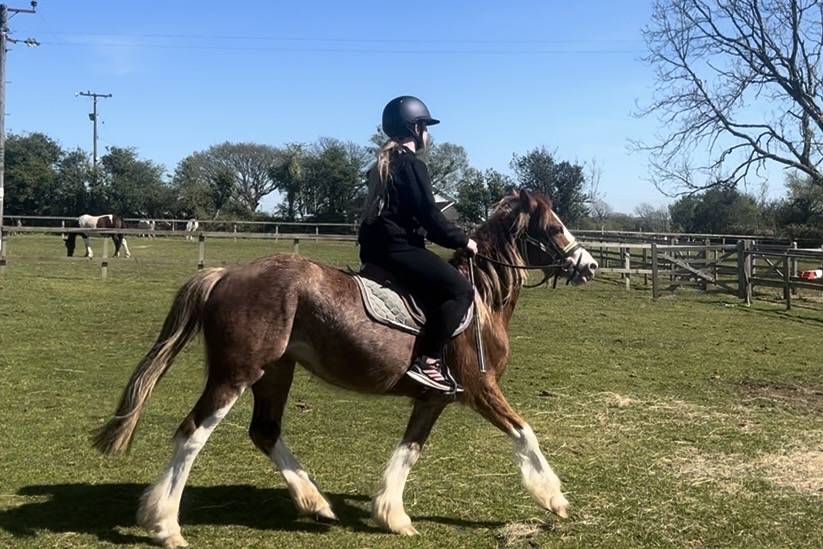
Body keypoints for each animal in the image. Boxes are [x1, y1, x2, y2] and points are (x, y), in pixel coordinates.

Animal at [93, 190, 598, 548]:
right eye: (555, 227)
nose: (590, 264)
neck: (481, 299)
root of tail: (226, 274)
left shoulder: (435, 397)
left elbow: (409, 450)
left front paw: (392, 514)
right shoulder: (480, 387)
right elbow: (525, 433)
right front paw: (554, 498)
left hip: (276, 373)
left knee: (265, 431)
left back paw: (314, 502)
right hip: (235, 374)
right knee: (192, 434)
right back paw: (166, 525)